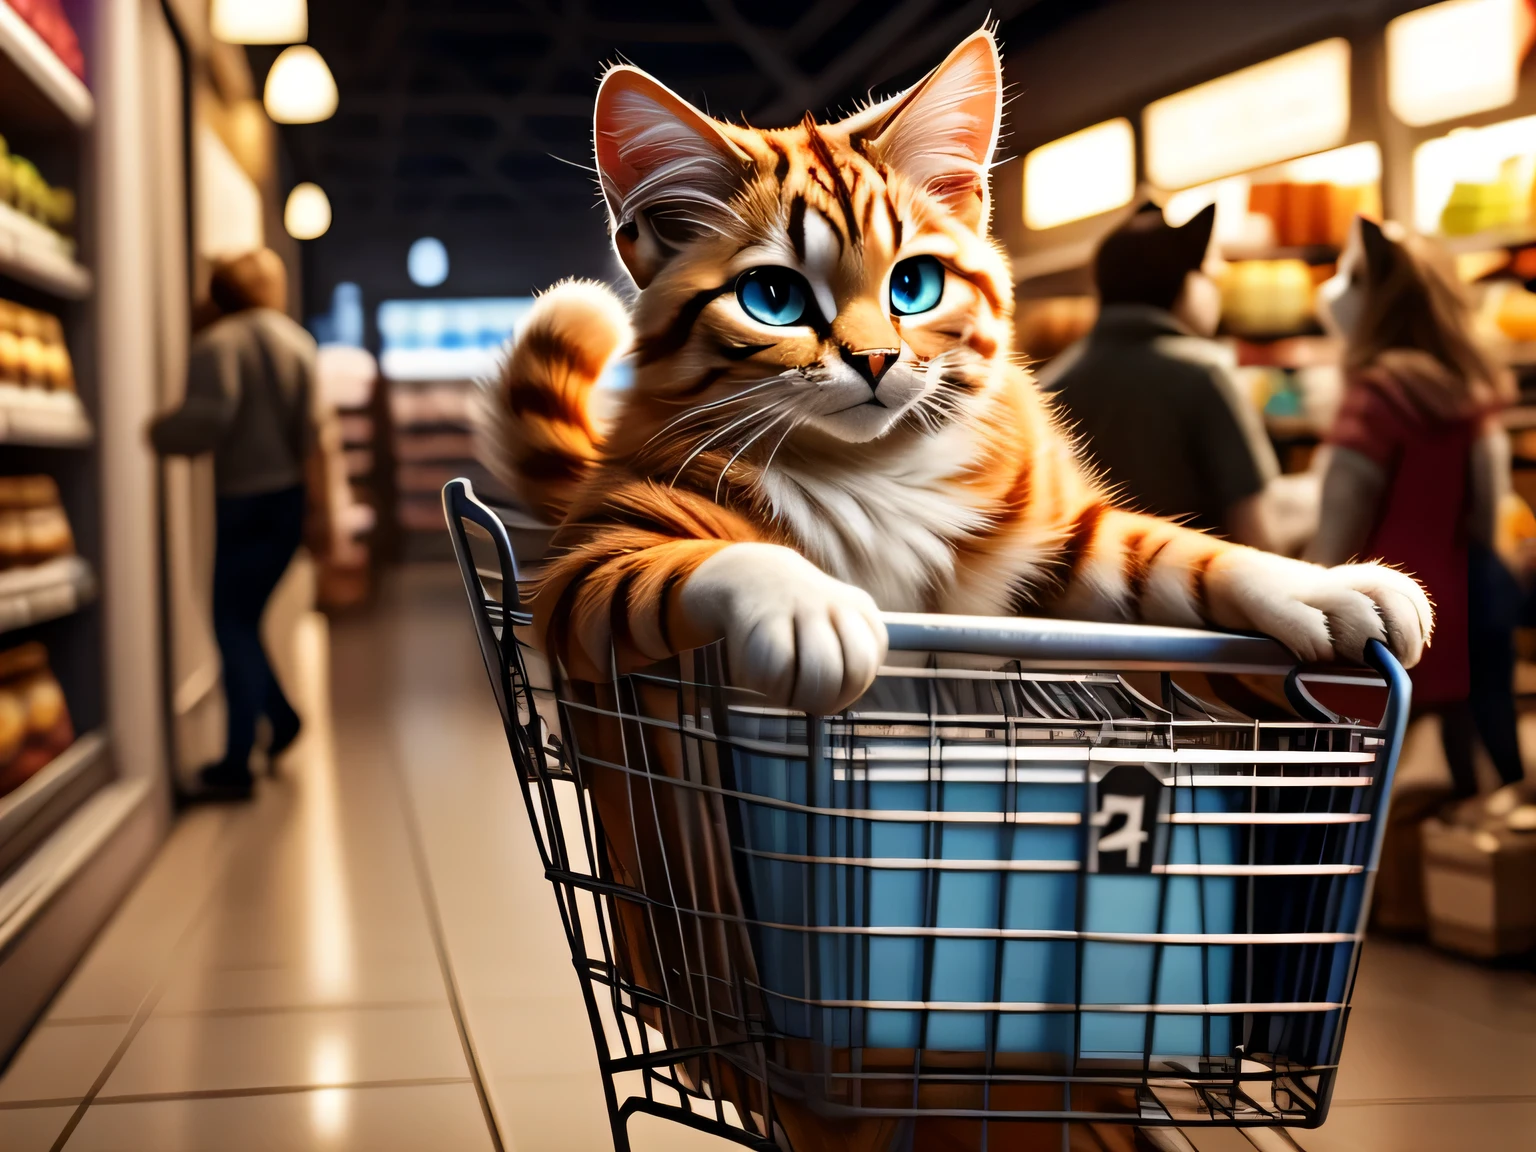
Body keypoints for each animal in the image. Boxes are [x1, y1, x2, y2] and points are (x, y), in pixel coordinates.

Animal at [479, 31, 1425, 718]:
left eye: (914, 285)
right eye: (773, 298)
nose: (874, 360)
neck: (872, 472)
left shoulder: (1061, 549)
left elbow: (1185, 553)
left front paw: (1327, 584)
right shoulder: (587, 572)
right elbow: (709, 556)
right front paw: (809, 606)